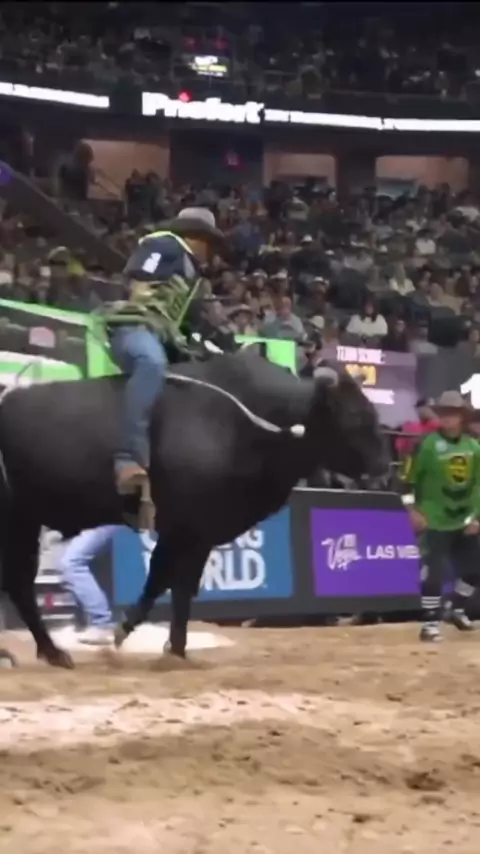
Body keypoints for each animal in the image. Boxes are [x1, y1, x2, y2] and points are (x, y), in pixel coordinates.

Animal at [0, 348, 387, 668]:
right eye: (355, 415)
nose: (383, 470)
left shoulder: (195, 531)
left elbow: (172, 584)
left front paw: (167, 644)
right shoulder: (187, 528)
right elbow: (169, 582)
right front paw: (146, 640)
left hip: (23, 522)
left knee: (17, 585)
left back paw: (45, 652)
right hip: (17, 521)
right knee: (18, 584)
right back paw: (45, 652)